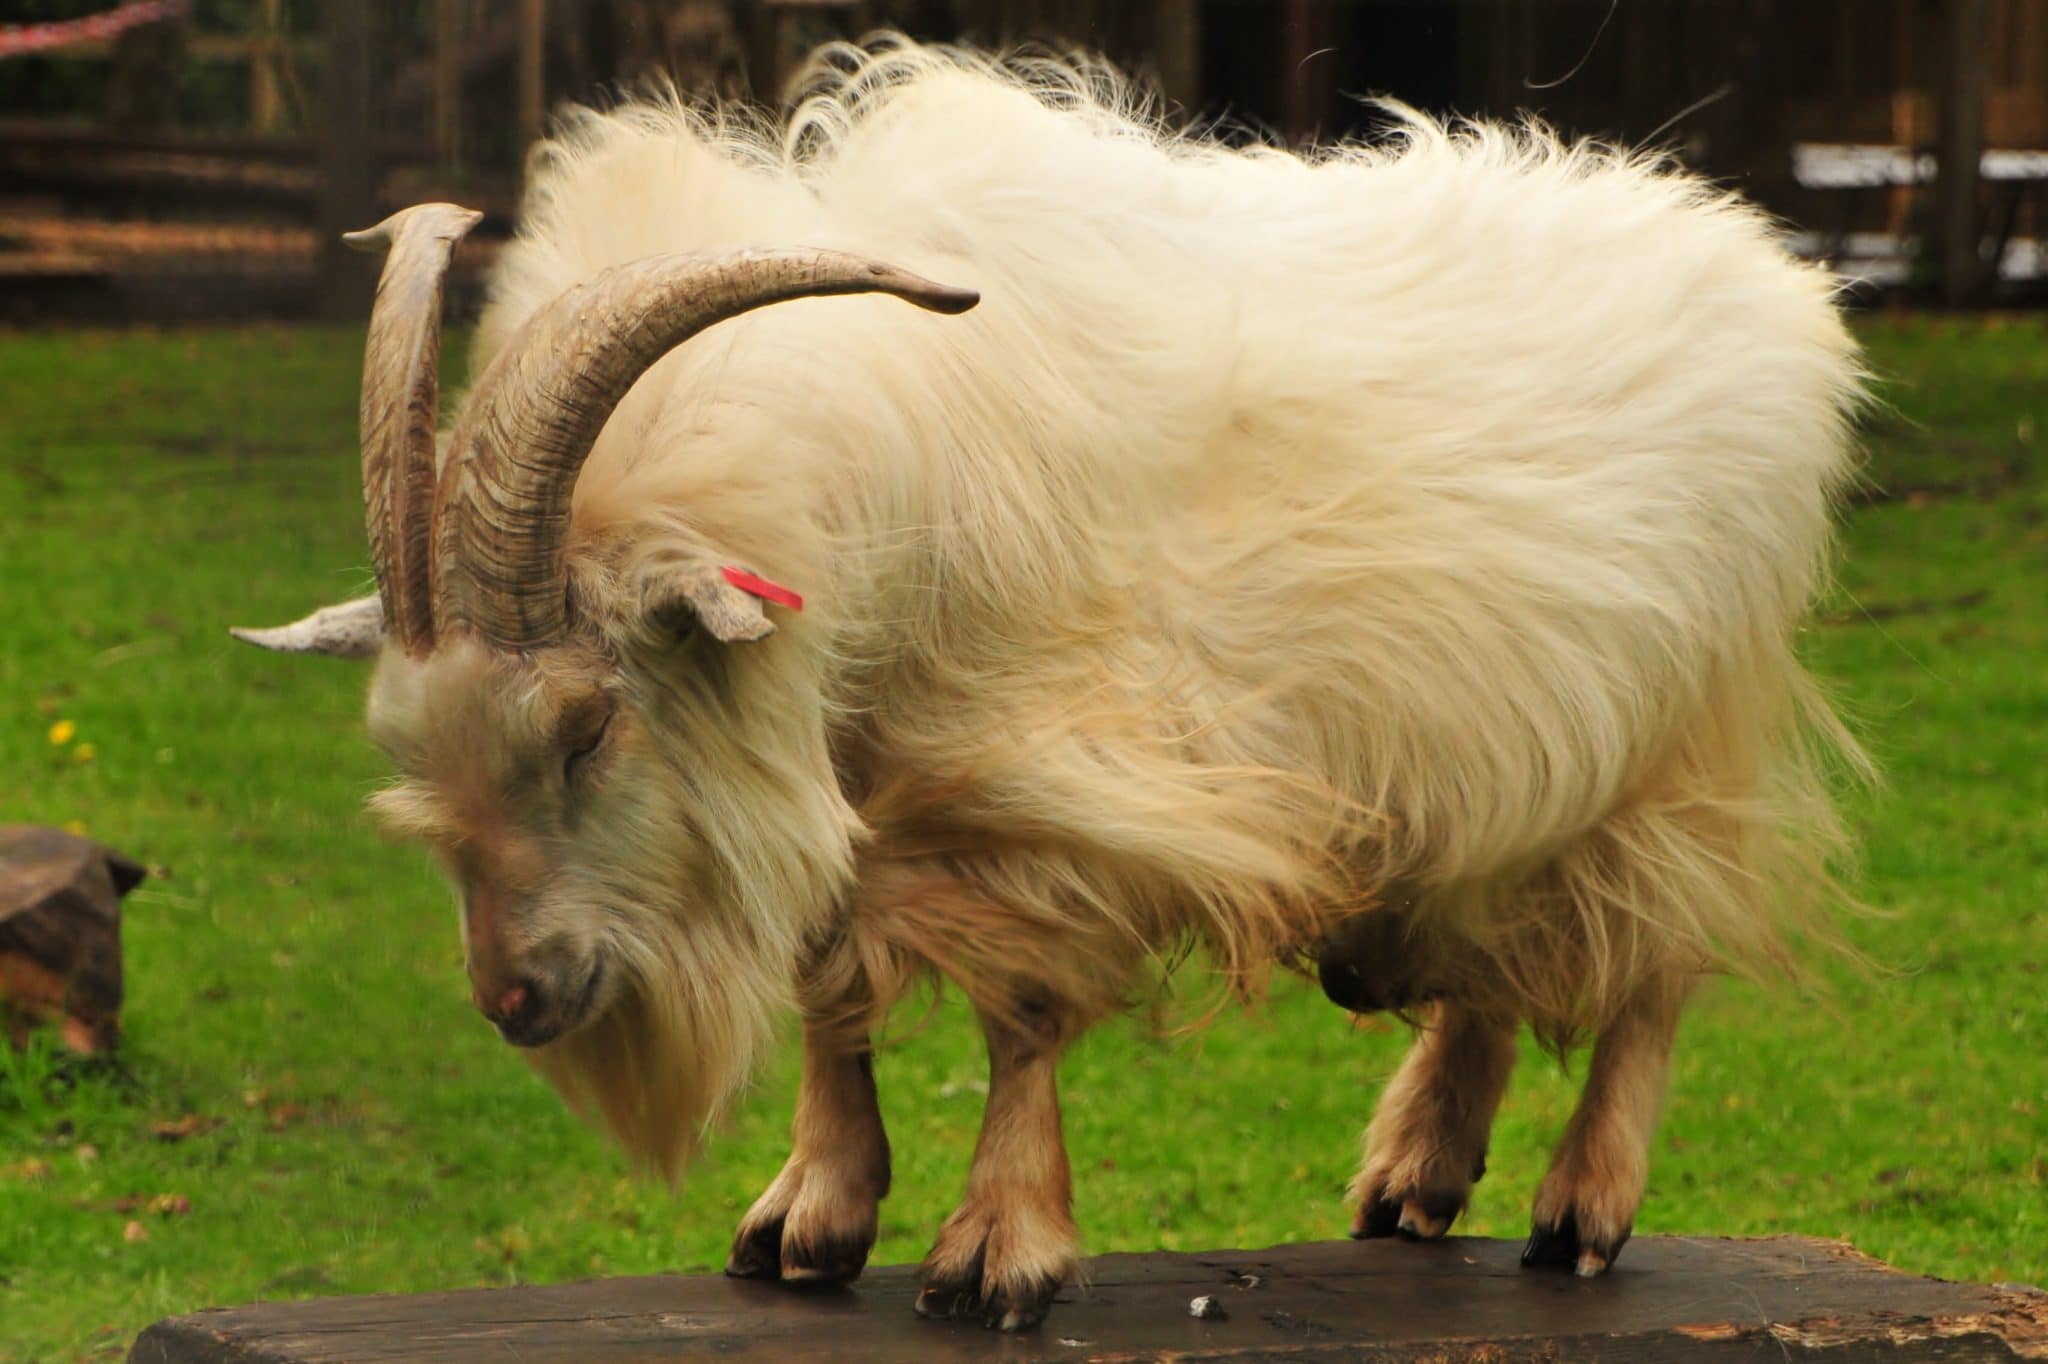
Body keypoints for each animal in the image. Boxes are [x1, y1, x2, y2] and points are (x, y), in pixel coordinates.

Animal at [235, 34, 1859, 1327]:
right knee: (1495, 956)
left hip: (1682, 749)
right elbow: (829, 987)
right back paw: (1413, 1176)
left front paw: (995, 1251)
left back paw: (1581, 1207)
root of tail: (1768, 274)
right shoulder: (870, 784)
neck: (872, 486)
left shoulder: (1042, 785)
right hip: (1507, 757)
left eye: (583, 730)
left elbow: (1018, 1015)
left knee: (1652, 961)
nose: (514, 996)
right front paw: (808, 1213)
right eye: (409, 744)